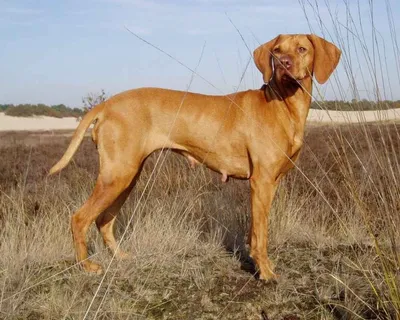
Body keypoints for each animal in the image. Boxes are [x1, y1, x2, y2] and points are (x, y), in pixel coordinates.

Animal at [48, 34, 340, 280]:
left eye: (301, 48)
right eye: (277, 50)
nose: (283, 64)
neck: (284, 105)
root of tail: (106, 105)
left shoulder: (271, 183)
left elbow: (255, 232)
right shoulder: (262, 182)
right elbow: (261, 236)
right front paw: (266, 272)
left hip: (126, 177)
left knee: (104, 221)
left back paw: (120, 257)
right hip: (117, 175)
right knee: (79, 218)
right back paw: (86, 266)